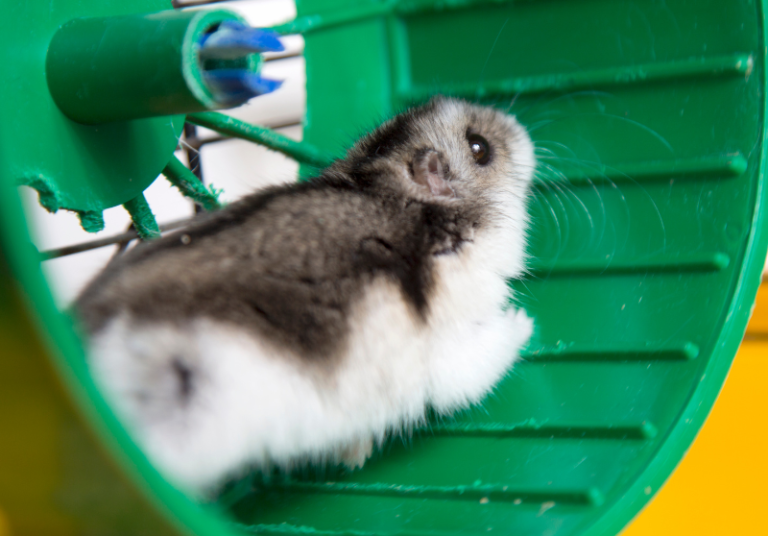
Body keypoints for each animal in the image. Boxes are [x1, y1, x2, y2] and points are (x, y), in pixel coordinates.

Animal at [76, 96, 536, 494]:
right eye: (479, 147)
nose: (519, 125)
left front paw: (354, 455)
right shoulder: (448, 347)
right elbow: (482, 358)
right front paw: (524, 321)